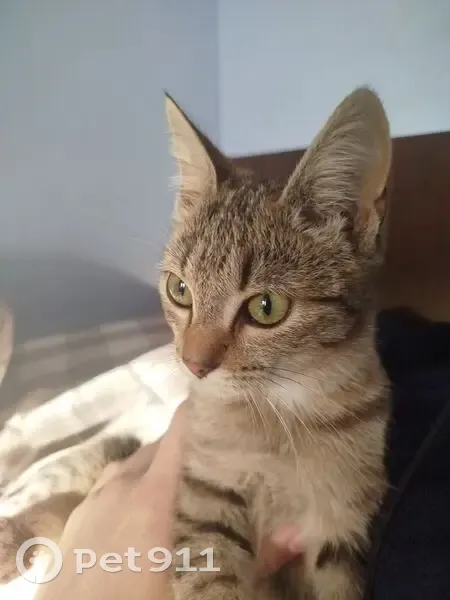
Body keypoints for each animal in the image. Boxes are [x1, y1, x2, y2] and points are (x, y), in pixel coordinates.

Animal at [0, 86, 392, 599]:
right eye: (180, 290)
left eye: (266, 307)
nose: (194, 363)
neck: (287, 413)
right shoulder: (207, 492)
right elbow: (212, 578)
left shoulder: (340, 528)